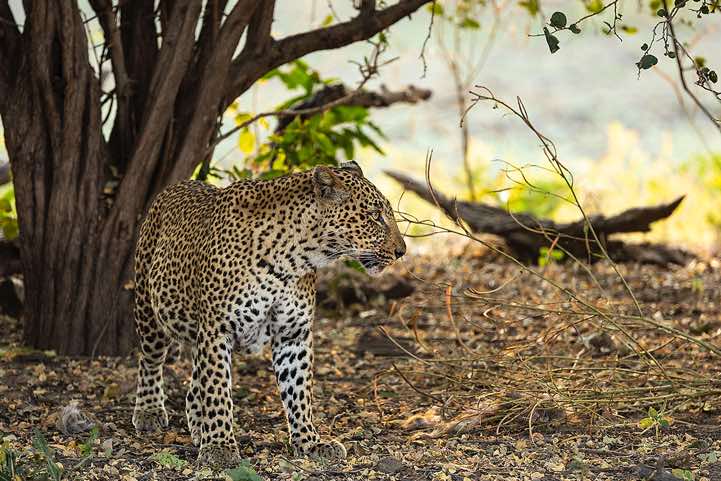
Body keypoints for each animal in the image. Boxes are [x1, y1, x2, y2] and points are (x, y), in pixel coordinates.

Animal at [131, 161, 406, 468]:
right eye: (375, 216)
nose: (402, 251)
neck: (293, 258)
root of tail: (178, 184)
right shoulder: (217, 329)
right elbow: (217, 389)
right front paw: (220, 447)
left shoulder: (293, 334)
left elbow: (298, 391)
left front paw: (309, 442)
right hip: (148, 308)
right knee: (151, 360)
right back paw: (149, 411)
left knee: (195, 383)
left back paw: (199, 427)